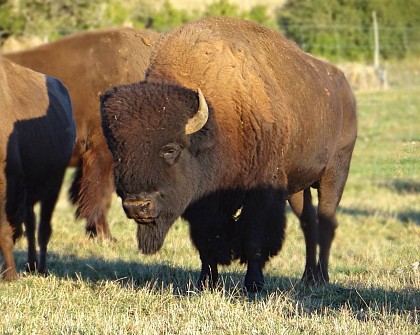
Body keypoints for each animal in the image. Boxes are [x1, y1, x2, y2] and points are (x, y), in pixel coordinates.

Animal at [0, 56, 75, 280]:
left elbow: (5, 230)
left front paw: (9, 275)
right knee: (32, 225)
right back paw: (31, 265)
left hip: (52, 188)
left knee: (43, 229)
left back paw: (40, 268)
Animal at [99, 17, 358, 292]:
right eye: (117, 150)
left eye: (170, 149)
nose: (137, 206)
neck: (217, 120)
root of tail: (344, 87)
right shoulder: (202, 204)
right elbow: (207, 241)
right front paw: (205, 282)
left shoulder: (260, 194)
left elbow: (254, 237)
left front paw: (253, 284)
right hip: (298, 186)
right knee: (308, 222)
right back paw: (307, 276)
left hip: (335, 172)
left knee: (326, 221)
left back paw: (322, 277)